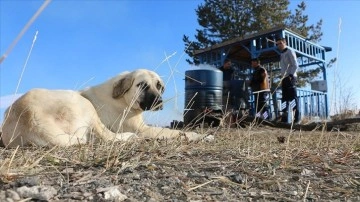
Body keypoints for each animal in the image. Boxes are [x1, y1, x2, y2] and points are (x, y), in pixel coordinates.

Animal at [0, 69, 208, 147]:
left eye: (159, 86)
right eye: (142, 85)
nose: (158, 101)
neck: (123, 98)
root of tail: (29, 115)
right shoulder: (143, 129)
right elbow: (174, 132)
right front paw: (199, 135)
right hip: (86, 106)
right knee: (108, 137)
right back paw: (129, 138)